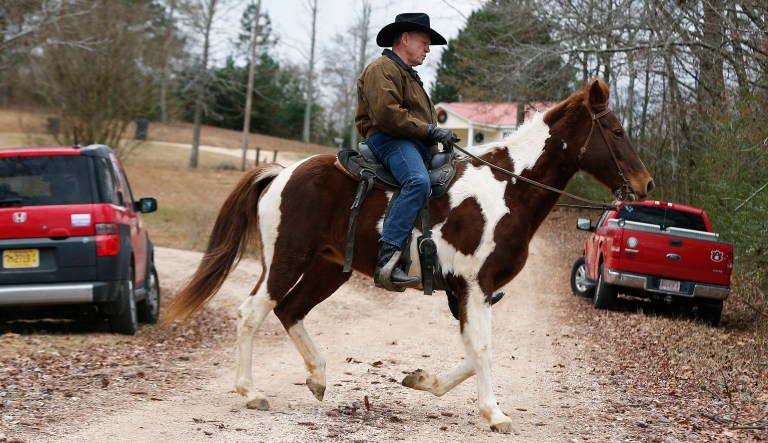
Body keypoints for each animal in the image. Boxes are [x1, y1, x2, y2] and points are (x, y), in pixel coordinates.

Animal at [164, 79, 654, 434]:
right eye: (616, 131)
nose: (645, 184)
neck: (507, 189)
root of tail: (282, 173)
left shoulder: (471, 292)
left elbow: (473, 351)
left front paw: (423, 381)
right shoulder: (475, 286)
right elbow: (482, 348)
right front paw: (495, 413)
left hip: (328, 270)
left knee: (290, 310)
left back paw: (318, 377)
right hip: (286, 261)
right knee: (252, 312)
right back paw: (250, 392)